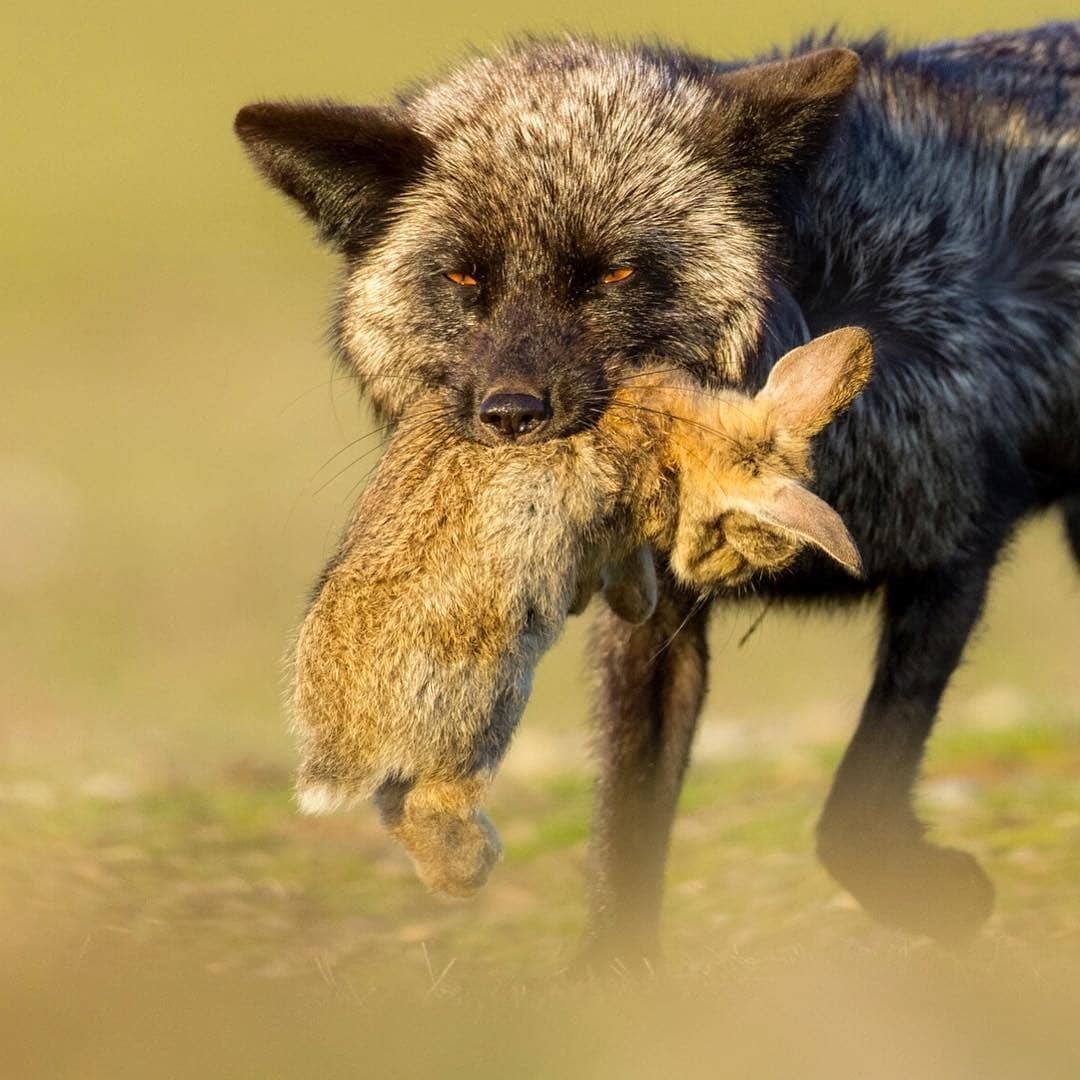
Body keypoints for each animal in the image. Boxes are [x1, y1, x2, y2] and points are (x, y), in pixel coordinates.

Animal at [291, 326, 872, 894]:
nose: (722, 574)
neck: (686, 434)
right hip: (488, 706)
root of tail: (338, 745)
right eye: (744, 531)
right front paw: (635, 600)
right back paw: (476, 867)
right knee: (431, 801)